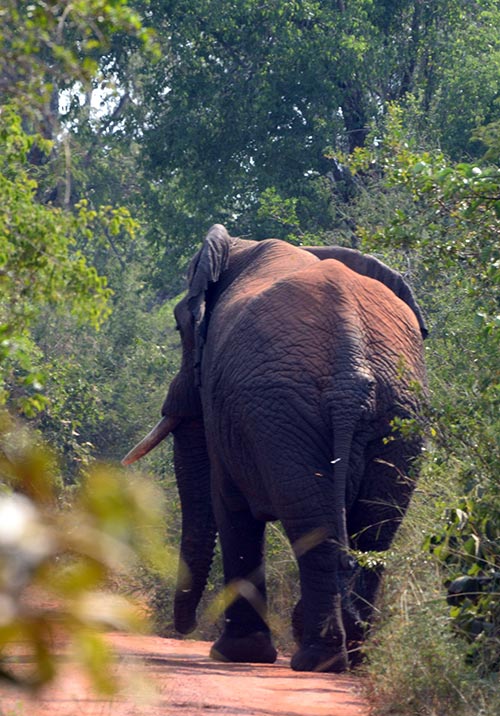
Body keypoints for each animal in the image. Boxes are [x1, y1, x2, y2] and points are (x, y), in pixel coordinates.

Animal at [123, 224, 428, 672]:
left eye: (180, 328)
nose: (184, 628)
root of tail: (350, 371)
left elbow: (228, 506)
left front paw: (236, 654)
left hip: (283, 409)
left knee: (315, 526)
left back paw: (318, 658)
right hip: (397, 413)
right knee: (376, 527)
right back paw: (350, 654)